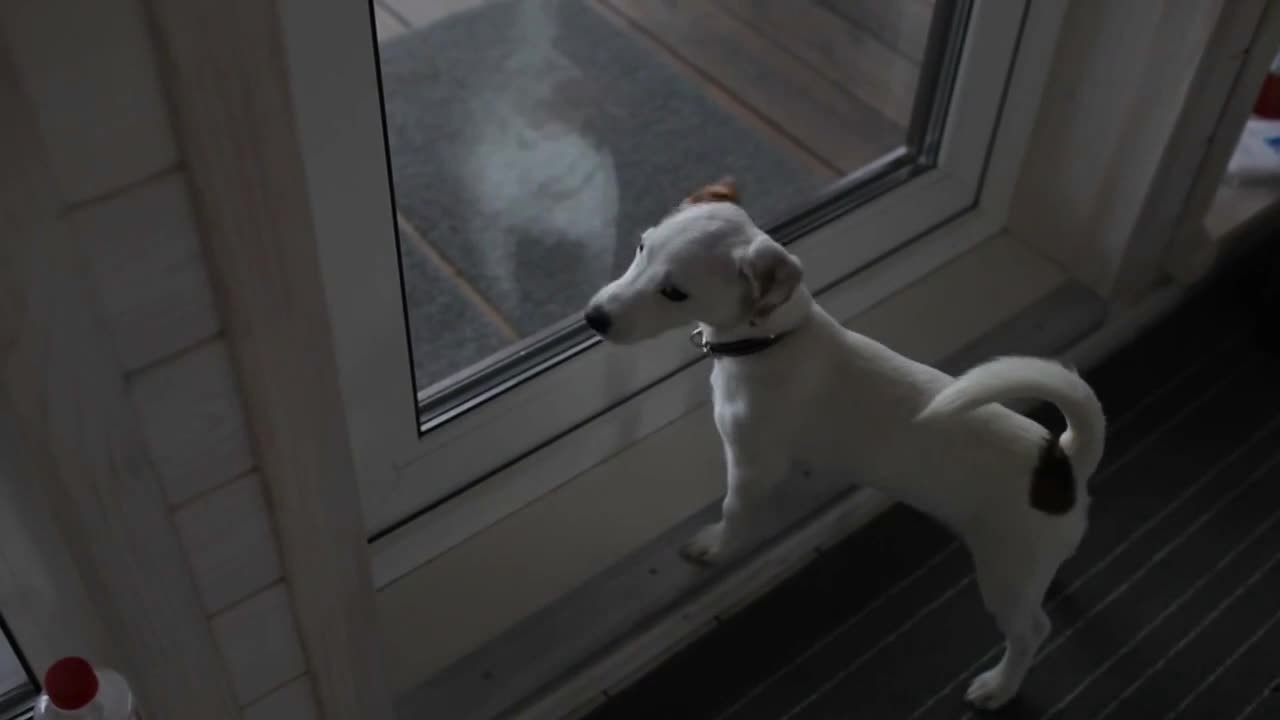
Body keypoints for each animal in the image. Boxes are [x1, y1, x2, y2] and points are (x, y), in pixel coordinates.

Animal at [586, 179, 1105, 707]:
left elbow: (733, 512)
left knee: (1031, 632)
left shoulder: (752, 464)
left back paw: (1000, 685)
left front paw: (713, 546)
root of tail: (1062, 461)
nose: (593, 318)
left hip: (1005, 569)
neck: (772, 340)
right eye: (641, 246)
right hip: (1022, 564)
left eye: (675, 292)